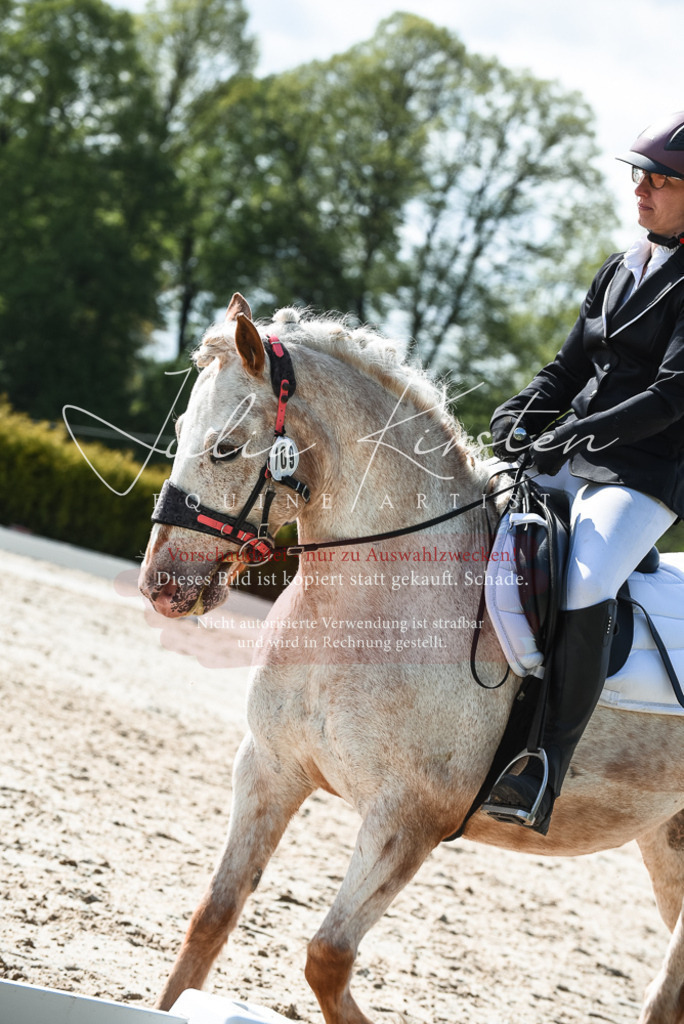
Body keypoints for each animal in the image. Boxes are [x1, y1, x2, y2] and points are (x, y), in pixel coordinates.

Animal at [139, 293, 684, 1024]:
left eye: (224, 447)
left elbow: (327, 956)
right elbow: (212, 915)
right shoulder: (269, 767)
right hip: (669, 843)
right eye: (180, 432)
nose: (161, 585)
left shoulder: (408, 819)